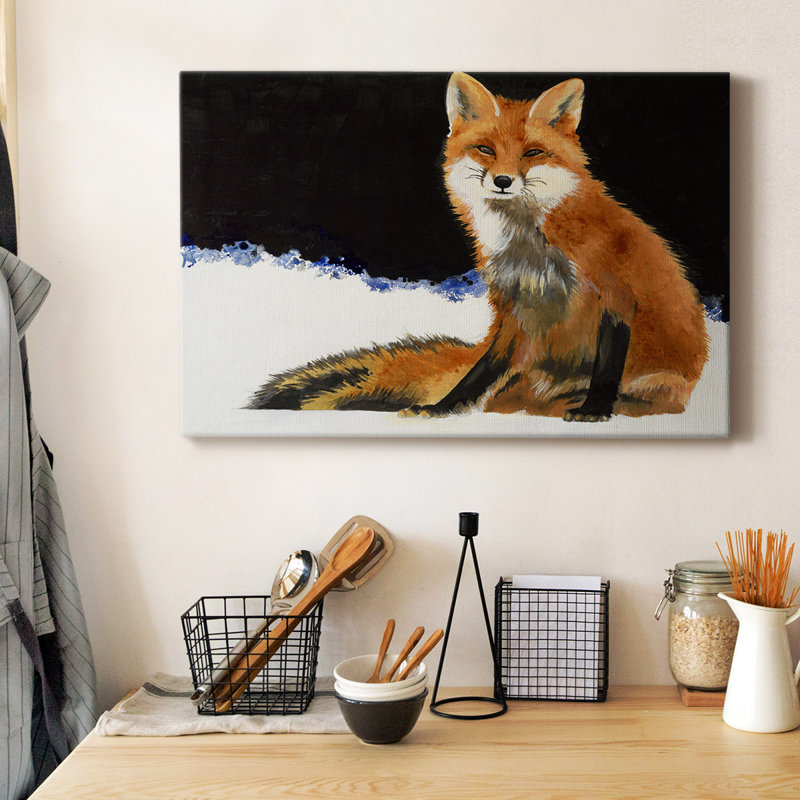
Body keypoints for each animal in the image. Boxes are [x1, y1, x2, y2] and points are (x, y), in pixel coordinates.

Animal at [247, 72, 709, 421]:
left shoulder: (614, 294)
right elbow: (480, 372)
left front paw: (595, 409)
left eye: (532, 153)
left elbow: (607, 366)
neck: (531, 246)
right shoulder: (512, 307)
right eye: (486, 149)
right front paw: (442, 408)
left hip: (660, 383)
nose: (503, 181)